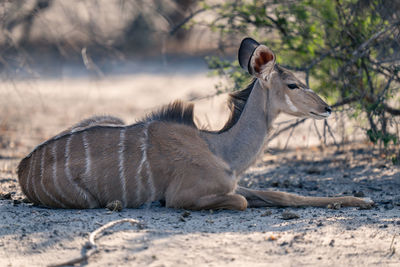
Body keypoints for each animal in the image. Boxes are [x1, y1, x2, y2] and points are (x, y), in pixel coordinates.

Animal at [17, 37, 374, 211]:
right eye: (293, 85)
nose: (327, 108)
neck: (218, 147)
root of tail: (23, 167)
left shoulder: (231, 184)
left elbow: (284, 195)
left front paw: (363, 200)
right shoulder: (186, 195)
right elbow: (244, 201)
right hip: (86, 200)